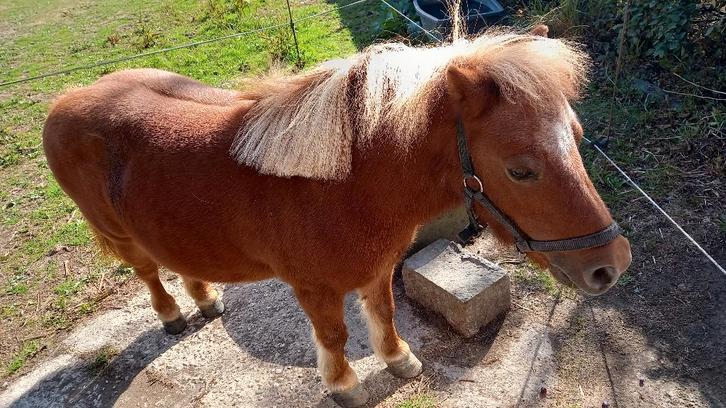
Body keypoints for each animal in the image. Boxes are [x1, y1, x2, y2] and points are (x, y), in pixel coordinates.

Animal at [42, 27, 631, 407]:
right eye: (521, 170)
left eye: (577, 137)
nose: (613, 264)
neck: (343, 186)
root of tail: (71, 95)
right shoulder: (314, 288)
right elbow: (334, 336)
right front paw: (345, 385)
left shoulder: (378, 268)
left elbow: (385, 317)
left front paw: (399, 359)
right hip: (120, 235)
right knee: (147, 272)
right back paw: (171, 314)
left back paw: (206, 298)